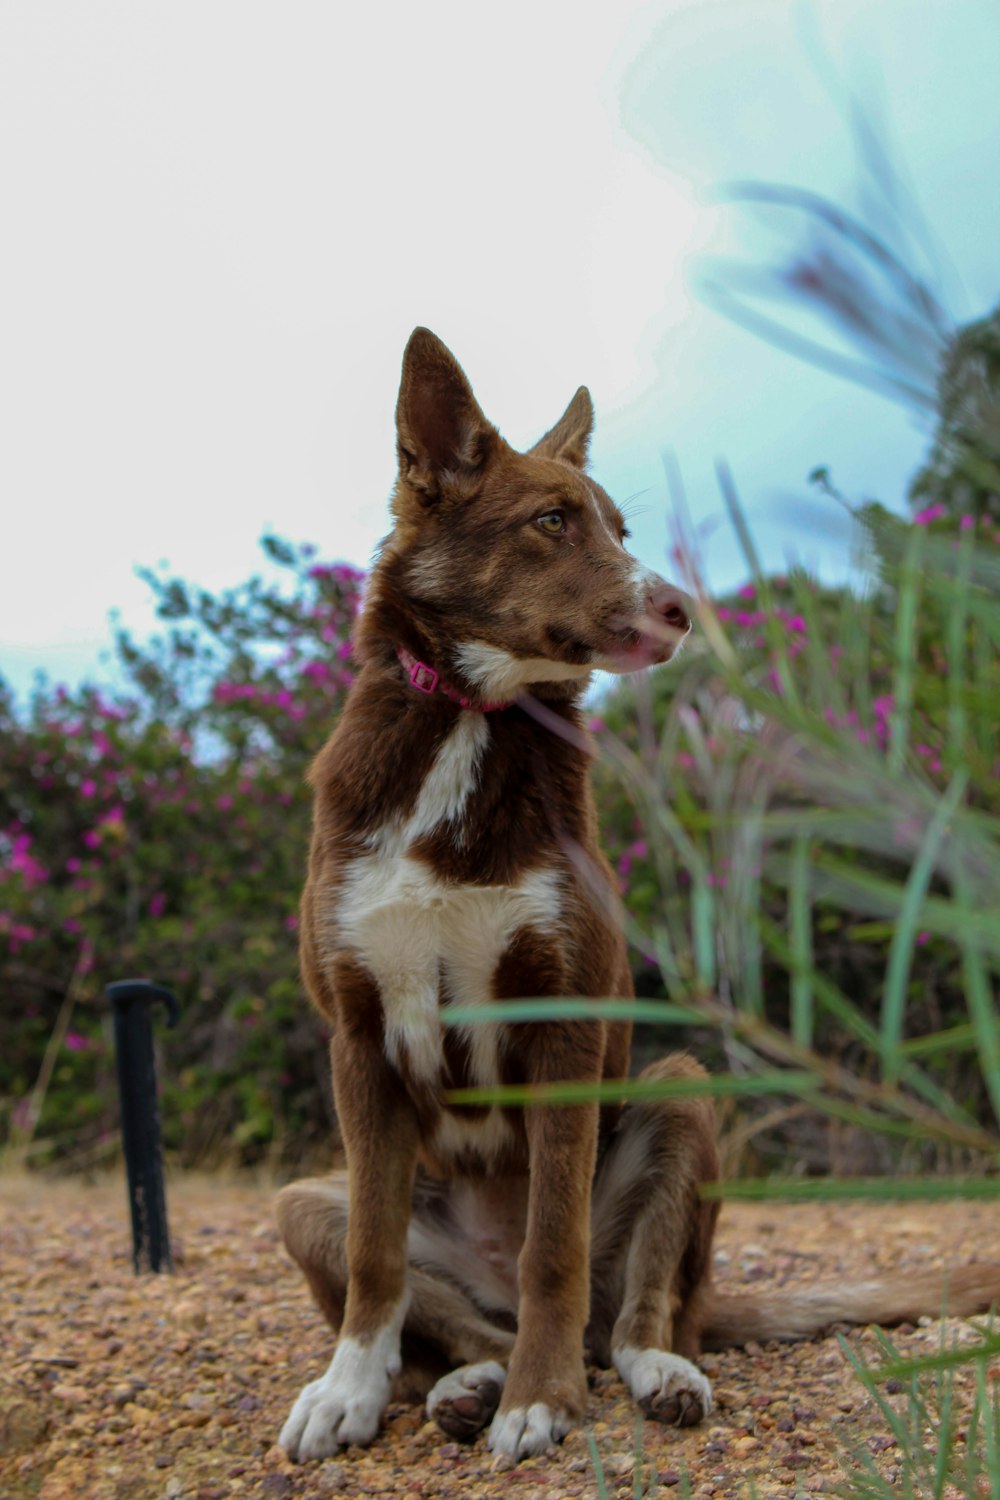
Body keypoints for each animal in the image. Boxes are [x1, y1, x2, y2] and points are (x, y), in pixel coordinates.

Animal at [277, 331, 1000, 1464]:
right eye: (550, 521)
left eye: (622, 528)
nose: (682, 609)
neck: (470, 723)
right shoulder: (356, 1031)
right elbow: (375, 1261)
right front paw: (346, 1391)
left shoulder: (566, 1021)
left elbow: (554, 1250)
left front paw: (542, 1402)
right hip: (302, 1197)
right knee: (448, 1314)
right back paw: (464, 1382)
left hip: (677, 1091)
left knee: (628, 1311)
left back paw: (649, 1372)